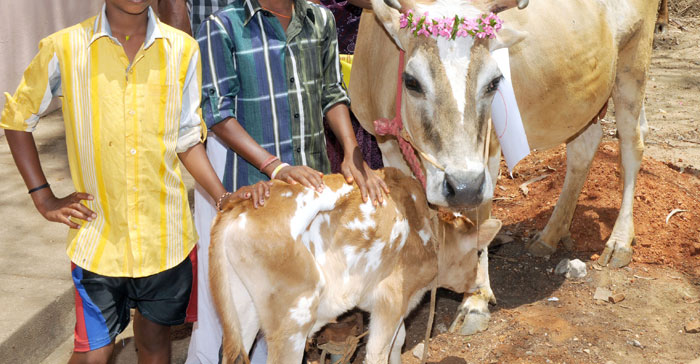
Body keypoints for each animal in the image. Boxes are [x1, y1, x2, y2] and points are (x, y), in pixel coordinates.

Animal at [211, 167, 500, 364]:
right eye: (476, 253)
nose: (475, 284)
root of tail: (239, 205)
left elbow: (398, 343)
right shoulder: (392, 298)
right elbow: (378, 352)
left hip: (244, 310)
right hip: (294, 317)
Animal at [350, 0, 660, 334]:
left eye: (494, 82)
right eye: (411, 82)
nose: (462, 186)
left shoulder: (488, 153)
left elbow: (480, 216)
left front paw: (475, 300)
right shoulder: (386, 144)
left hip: (633, 63)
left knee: (632, 143)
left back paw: (619, 240)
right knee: (585, 146)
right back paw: (550, 235)